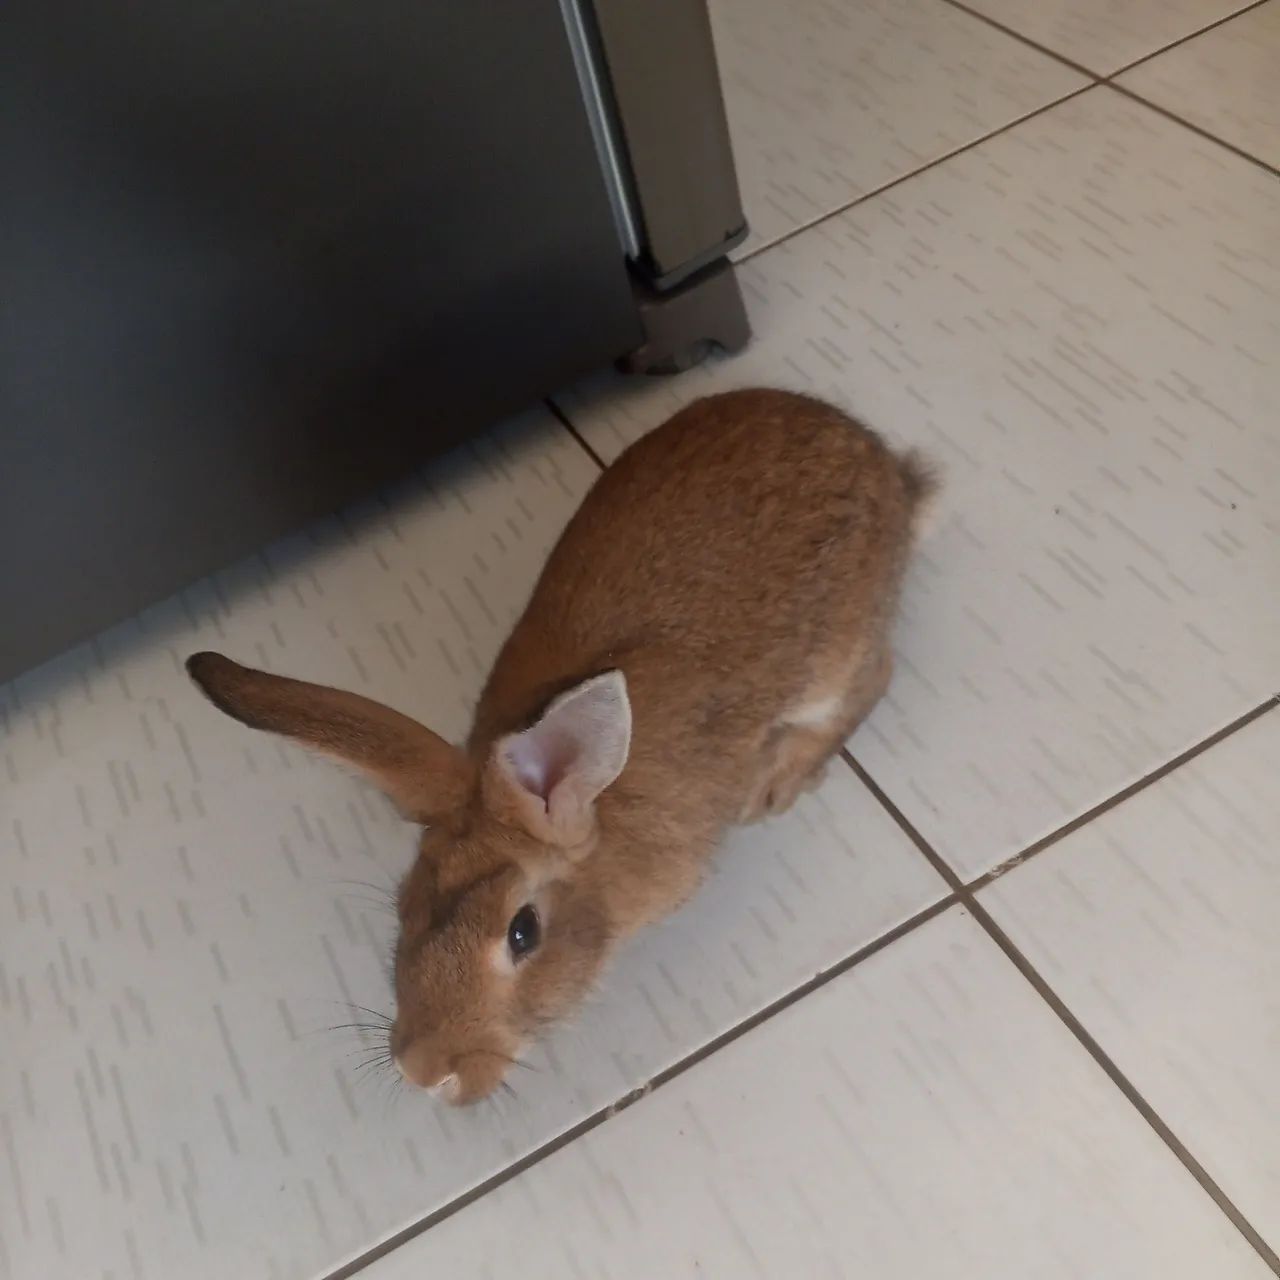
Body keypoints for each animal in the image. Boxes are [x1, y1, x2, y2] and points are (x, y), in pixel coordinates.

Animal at [186, 387, 935, 1104]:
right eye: (404, 906)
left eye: (524, 933)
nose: (425, 1075)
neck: (601, 817)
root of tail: (888, 468)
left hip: (836, 658)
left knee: (875, 674)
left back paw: (777, 782)